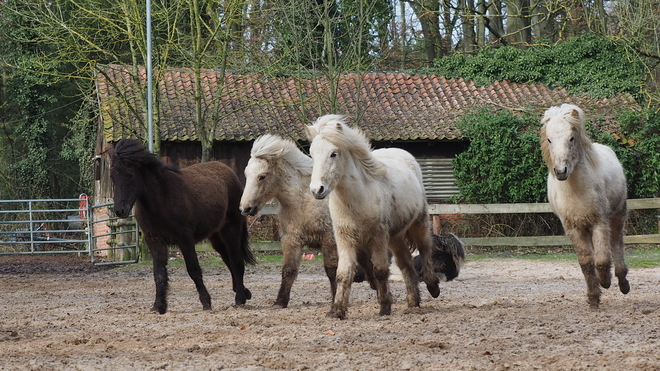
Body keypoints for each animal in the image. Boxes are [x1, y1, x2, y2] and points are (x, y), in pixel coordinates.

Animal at [109, 139, 254, 314]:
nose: (120, 210)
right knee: (228, 260)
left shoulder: (185, 239)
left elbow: (194, 270)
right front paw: (159, 306)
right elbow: (159, 274)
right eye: (112, 177)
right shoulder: (155, 240)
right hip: (216, 236)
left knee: (236, 261)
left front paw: (206, 303)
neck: (162, 199)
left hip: (231, 229)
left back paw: (239, 299)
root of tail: (229, 172)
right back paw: (244, 293)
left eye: (130, 175)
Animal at [306, 114, 440, 320]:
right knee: (406, 264)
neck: (357, 200)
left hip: (418, 224)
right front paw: (337, 310)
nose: (317, 190)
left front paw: (384, 307)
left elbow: (380, 271)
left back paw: (433, 287)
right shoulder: (345, 240)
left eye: (333, 154)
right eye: (312, 153)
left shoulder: (378, 238)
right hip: (395, 237)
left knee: (425, 250)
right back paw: (413, 302)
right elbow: (343, 274)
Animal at [540, 103, 628, 310]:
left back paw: (623, 283)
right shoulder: (574, 228)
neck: (576, 191)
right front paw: (593, 298)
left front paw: (605, 282)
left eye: (571, 138)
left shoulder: (599, 222)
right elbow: (587, 263)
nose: (560, 171)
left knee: (616, 243)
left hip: (617, 216)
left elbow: (602, 260)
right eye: (549, 139)